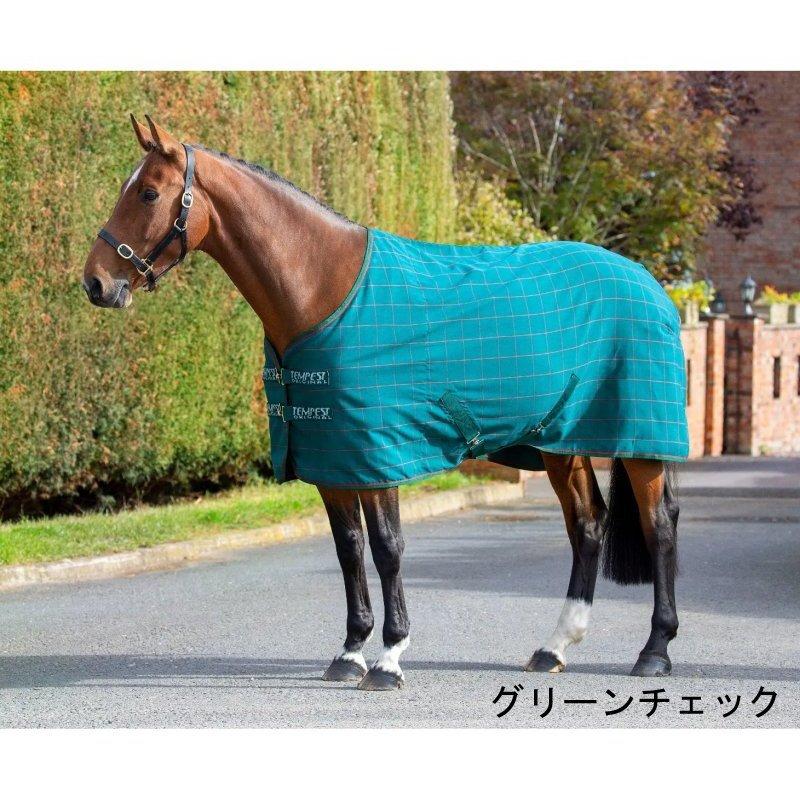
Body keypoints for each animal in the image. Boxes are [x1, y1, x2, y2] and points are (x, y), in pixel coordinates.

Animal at [82, 116, 682, 691]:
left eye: (149, 194)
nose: (96, 283)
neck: (324, 289)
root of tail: (646, 281)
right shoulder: (331, 456)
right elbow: (349, 549)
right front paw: (350, 654)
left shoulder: (378, 455)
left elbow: (388, 547)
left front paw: (390, 659)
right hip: (561, 442)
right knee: (587, 523)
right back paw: (554, 648)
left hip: (643, 441)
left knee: (658, 524)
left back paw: (654, 651)